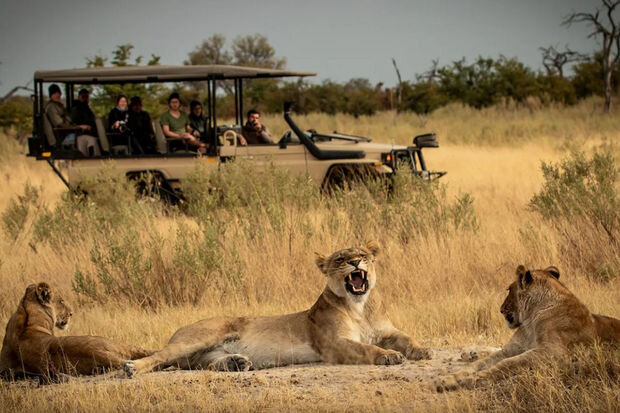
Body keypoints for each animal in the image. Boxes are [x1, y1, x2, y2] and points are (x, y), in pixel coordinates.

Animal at [123, 241, 428, 376]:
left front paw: (422, 350)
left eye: (362, 255)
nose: (355, 263)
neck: (360, 307)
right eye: (340, 259)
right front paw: (389, 356)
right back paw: (131, 368)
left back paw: (236, 363)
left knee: (201, 363)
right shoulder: (335, 344)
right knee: (160, 357)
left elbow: (407, 337)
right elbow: (368, 348)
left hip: (205, 353)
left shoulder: (388, 331)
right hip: (197, 338)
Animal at [432, 266, 620, 392]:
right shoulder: (512, 348)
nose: (500, 309)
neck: (530, 320)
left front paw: (471, 380)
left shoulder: (554, 351)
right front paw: (448, 379)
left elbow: (507, 363)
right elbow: (482, 363)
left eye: (509, 290)